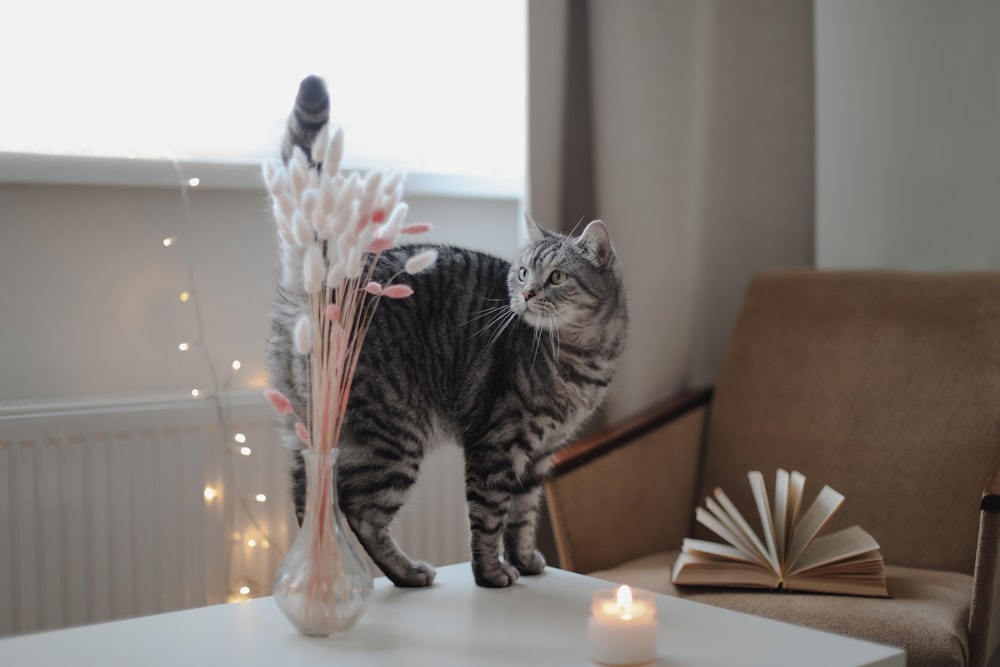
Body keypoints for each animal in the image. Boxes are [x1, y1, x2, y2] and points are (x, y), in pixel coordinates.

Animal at [266, 78, 624, 588]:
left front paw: (525, 560)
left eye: (556, 277)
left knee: (307, 496)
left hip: (312, 429)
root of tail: (327, 286)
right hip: (394, 436)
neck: (584, 357)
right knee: (359, 510)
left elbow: (523, 515)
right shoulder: (497, 442)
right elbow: (489, 516)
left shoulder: (539, 456)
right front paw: (491, 572)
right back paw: (401, 572)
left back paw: (319, 571)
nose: (526, 294)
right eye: (522, 273)